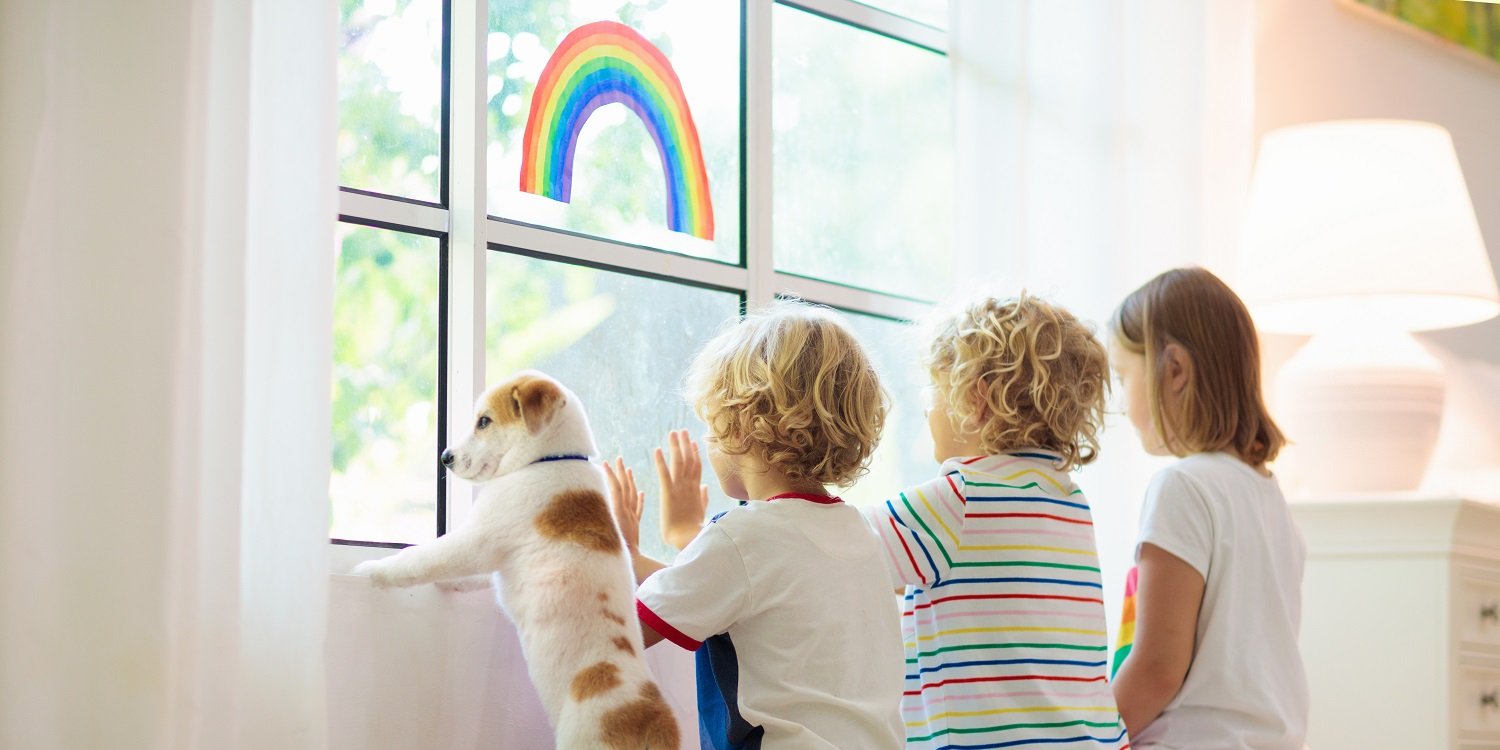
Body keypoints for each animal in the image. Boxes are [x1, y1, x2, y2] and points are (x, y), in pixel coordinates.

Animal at [351, 370, 681, 750]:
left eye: (484, 421)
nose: (445, 457)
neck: (549, 459)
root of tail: (652, 723)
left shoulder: (475, 540)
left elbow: (421, 558)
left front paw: (373, 570)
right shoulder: (495, 554)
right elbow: (471, 576)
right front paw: (449, 583)